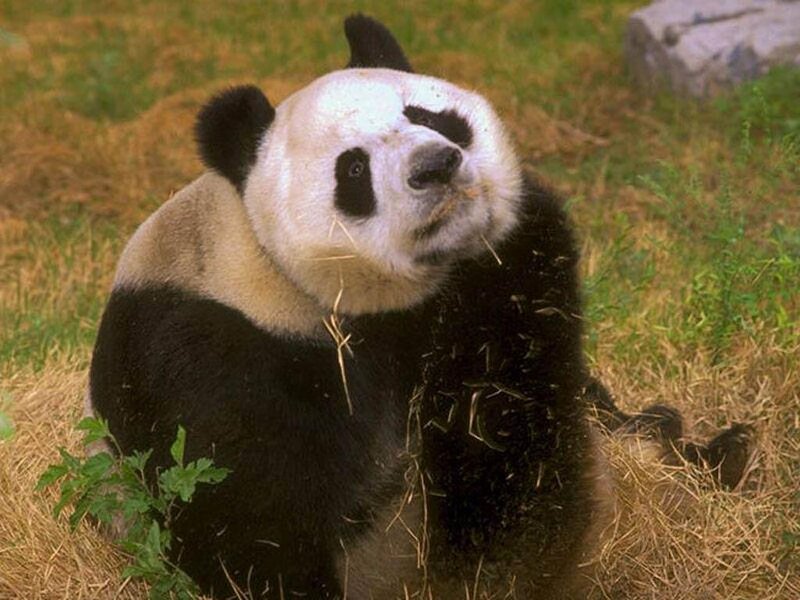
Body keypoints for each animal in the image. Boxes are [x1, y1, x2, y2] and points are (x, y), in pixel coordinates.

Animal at [87, 14, 752, 600]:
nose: (436, 166)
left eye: (430, 116)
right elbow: (247, 518)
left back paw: (721, 452)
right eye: (353, 167)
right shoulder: (212, 354)